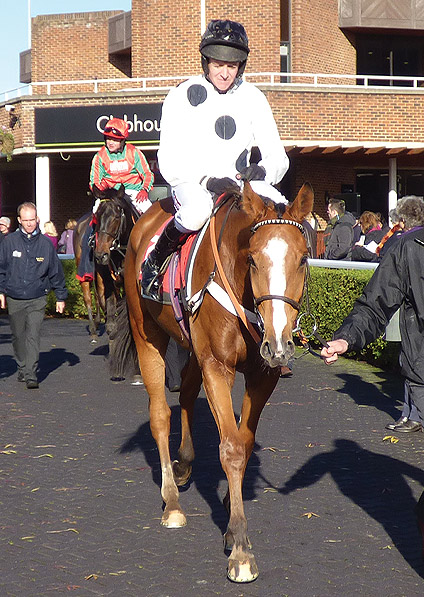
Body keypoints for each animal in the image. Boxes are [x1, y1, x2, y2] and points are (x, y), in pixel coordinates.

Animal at [109, 182, 314, 584]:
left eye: (301, 259)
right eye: (253, 260)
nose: (280, 344)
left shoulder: (262, 373)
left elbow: (244, 441)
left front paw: (231, 511)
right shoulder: (217, 366)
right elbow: (231, 448)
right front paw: (241, 548)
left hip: (192, 346)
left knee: (187, 394)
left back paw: (185, 463)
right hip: (148, 334)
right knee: (160, 414)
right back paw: (171, 501)